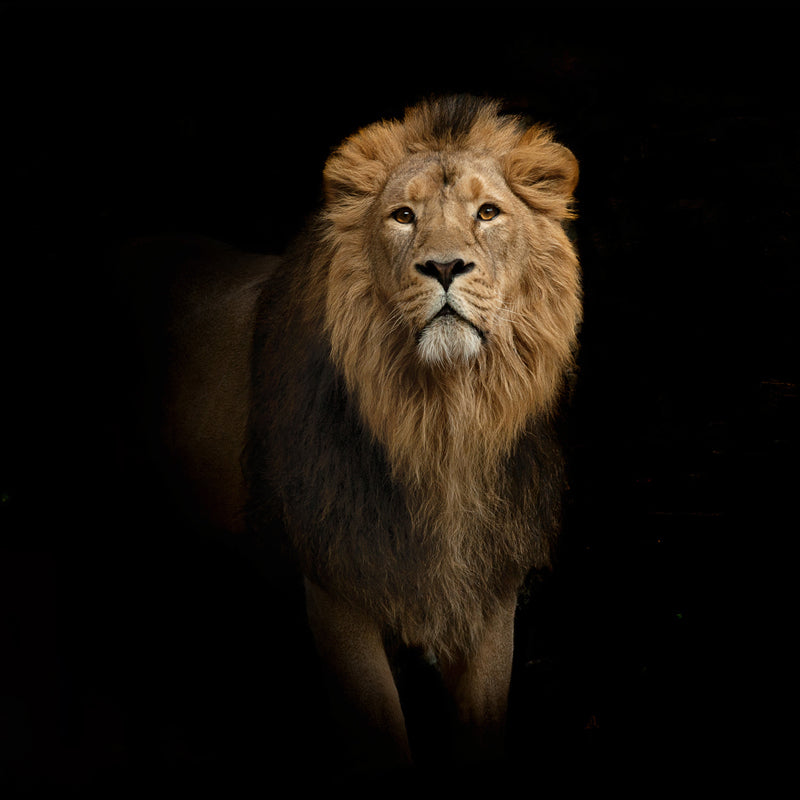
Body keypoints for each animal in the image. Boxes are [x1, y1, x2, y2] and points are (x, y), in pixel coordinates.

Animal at [147, 95, 581, 772]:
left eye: (488, 212)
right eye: (403, 216)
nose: (445, 266)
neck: (441, 423)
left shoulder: (489, 595)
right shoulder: (337, 591)